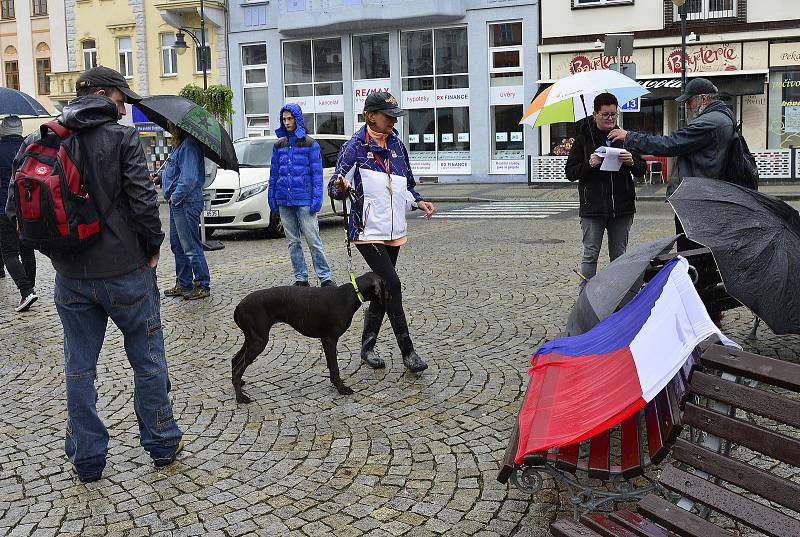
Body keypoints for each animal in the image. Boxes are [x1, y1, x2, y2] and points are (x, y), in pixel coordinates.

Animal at [230, 272, 390, 402]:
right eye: (385, 285)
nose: (392, 296)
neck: (349, 295)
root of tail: (238, 306)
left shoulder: (326, 341)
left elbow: (331, 366)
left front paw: (334, 384)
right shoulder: (329, 339)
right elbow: (335, 367)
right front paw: (341, 388)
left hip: (252, 339)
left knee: (234, 360)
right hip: (259, 341)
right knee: (238, 368)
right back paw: (240, 397)